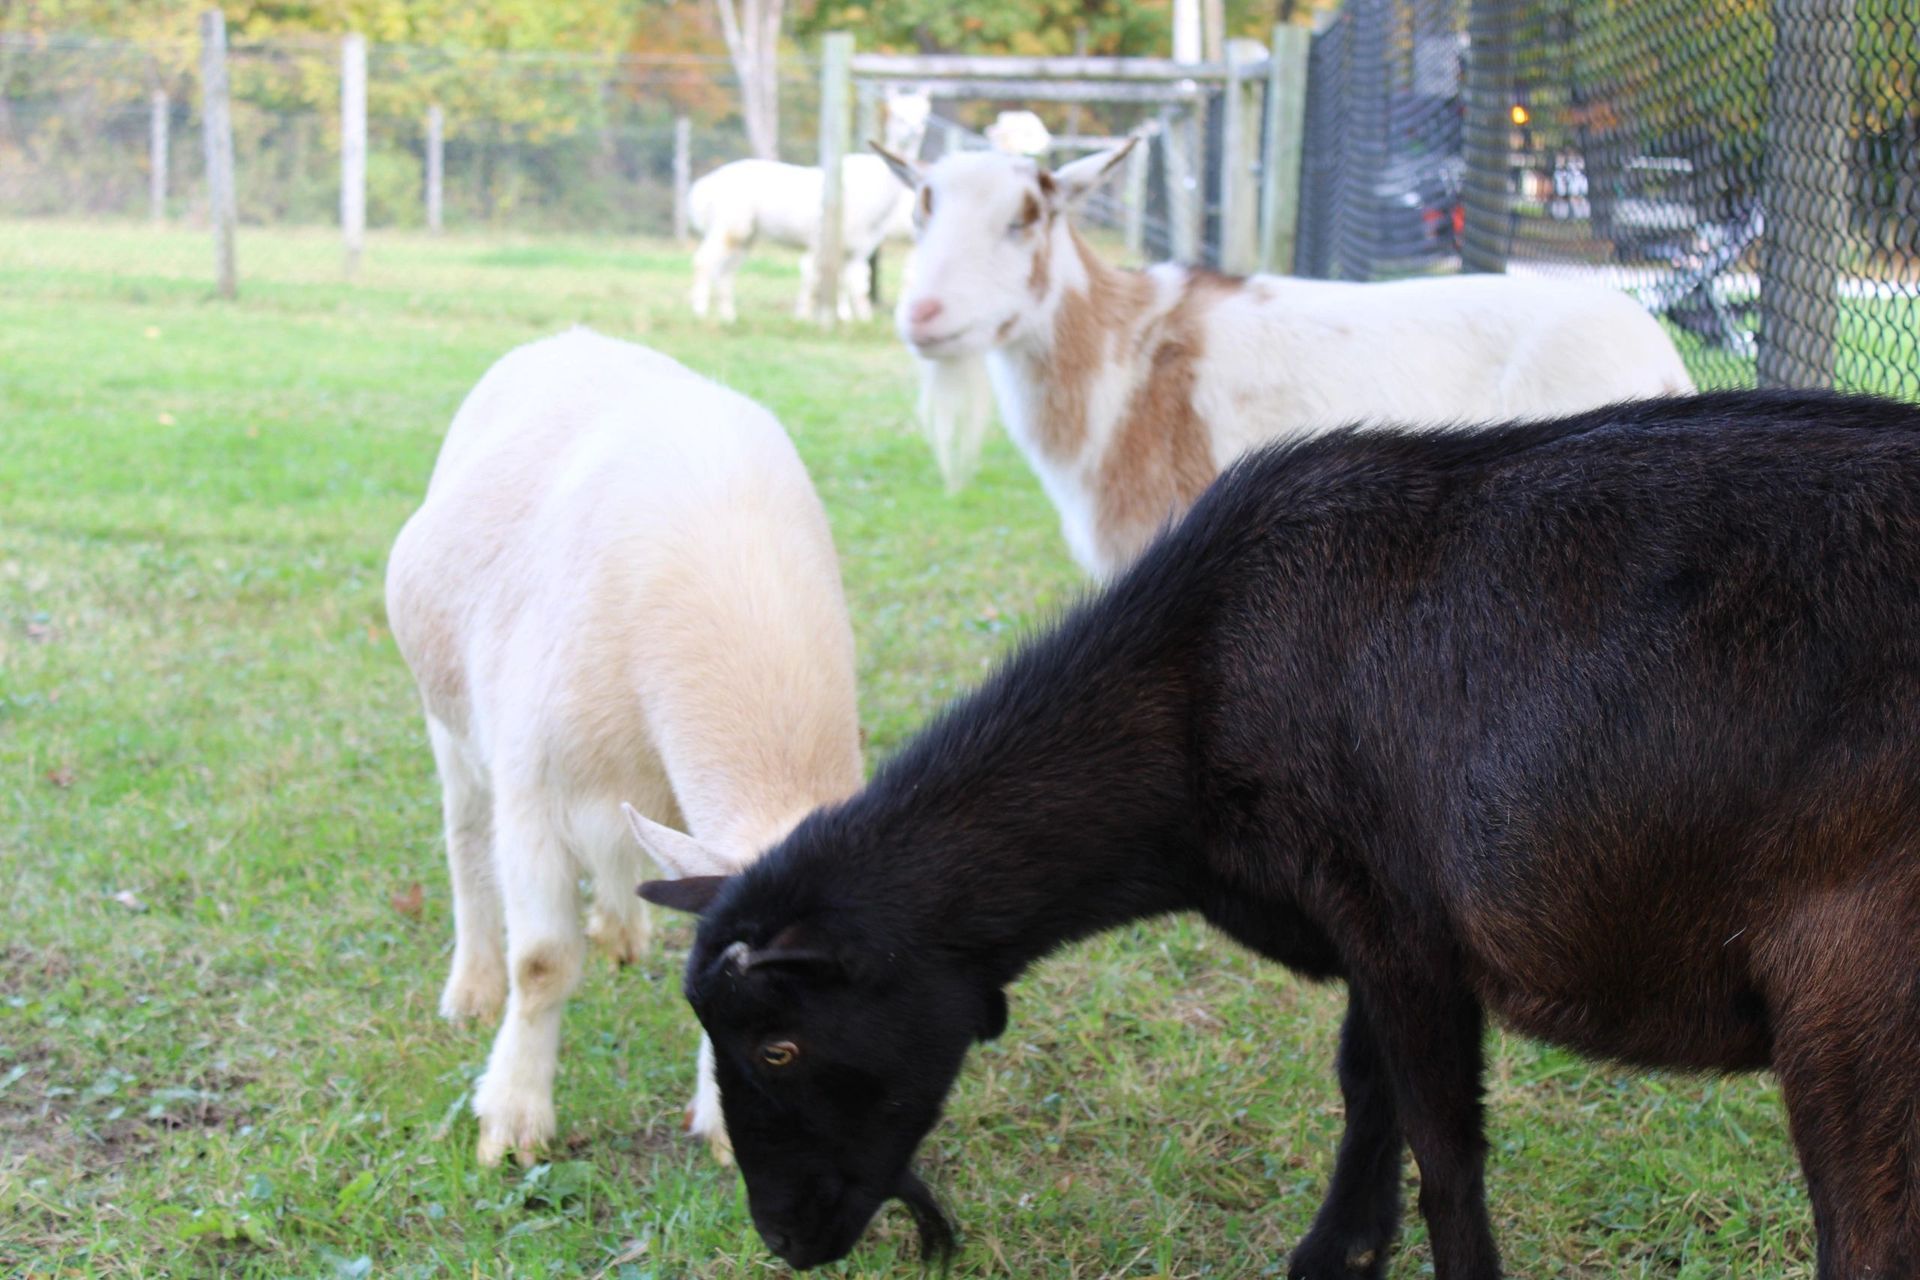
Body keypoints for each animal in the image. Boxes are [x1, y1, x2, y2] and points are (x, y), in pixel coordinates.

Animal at [385, 328, 861, 1167]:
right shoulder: (533, 791)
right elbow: (542, 962)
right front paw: (512, 1119)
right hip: (452, 724)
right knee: (467, 844)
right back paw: (472, 988)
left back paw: (619, 927)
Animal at [635, 390, 1920, 1278]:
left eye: (779, 1045)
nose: (784, 1236)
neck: (1190, 688)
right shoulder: (1358, 911)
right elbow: (1368, 1087)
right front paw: (1339, 1248)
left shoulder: (1403, 919)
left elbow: (1445, 1147)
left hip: (1853, 990)